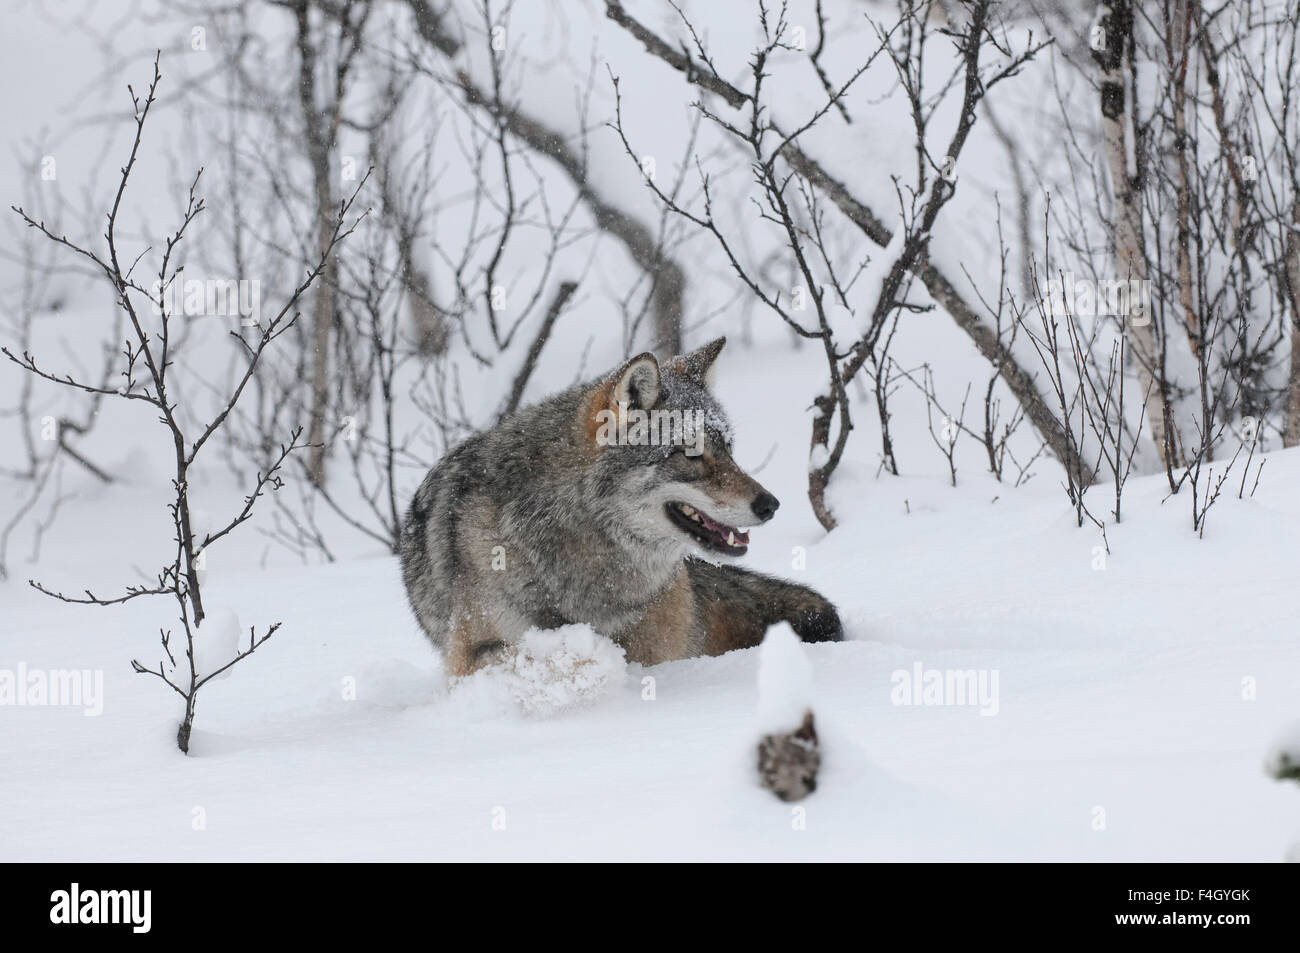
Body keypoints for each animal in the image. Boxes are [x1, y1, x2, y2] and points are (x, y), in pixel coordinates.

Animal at [397, 335, 842, 676]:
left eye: (728, 450)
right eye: (690, 453)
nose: (771, 504)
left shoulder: (653, 648)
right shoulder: (474, 651)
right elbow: (548, 656)